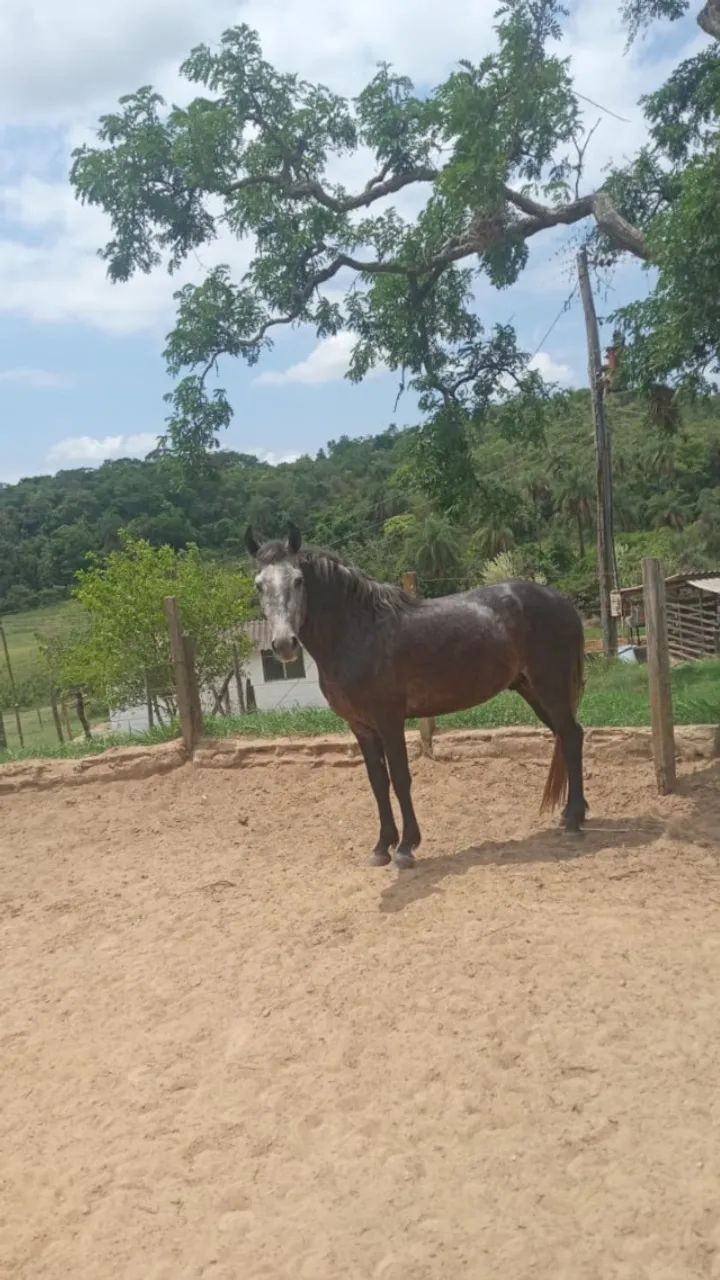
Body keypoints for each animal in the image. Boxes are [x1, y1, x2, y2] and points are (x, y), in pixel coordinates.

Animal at [246, 524, 587, 869]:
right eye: (259, 584)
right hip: (532, 691)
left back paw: (573, 820)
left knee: (572, 737)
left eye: (298, 580)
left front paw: (406, 846)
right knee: (568, 735)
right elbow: (377, 782)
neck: (358, 633)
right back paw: (570, 815)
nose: (284, 644)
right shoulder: (361, 727)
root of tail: (561, 601)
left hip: (551, 688)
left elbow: (400, 778)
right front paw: (382, 846)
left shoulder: (390, 721)